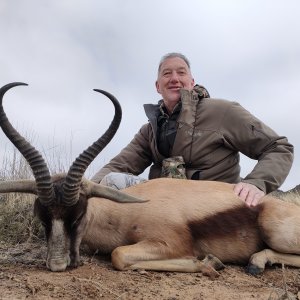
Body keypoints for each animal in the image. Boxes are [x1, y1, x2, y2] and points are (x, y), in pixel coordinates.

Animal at [0, 82, 300, 278]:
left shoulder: (170, 244)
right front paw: (210, 261)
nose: (57, 265)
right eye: (42, 218)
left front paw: (209, 262)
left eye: (77, 217)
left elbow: (119, 255)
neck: (124, 213)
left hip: (275, 232)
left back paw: (256, 262)